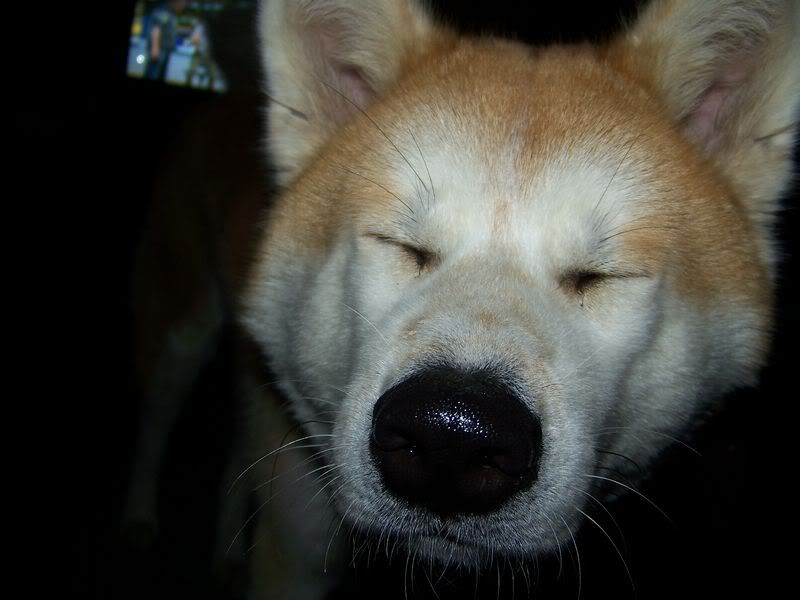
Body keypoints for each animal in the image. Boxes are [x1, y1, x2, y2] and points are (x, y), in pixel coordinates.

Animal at [124, 0, 799, 598]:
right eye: (401, 244)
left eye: (601, 276)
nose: (453, 436)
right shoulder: (297, 551)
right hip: (182, 335)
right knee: (156, 421)